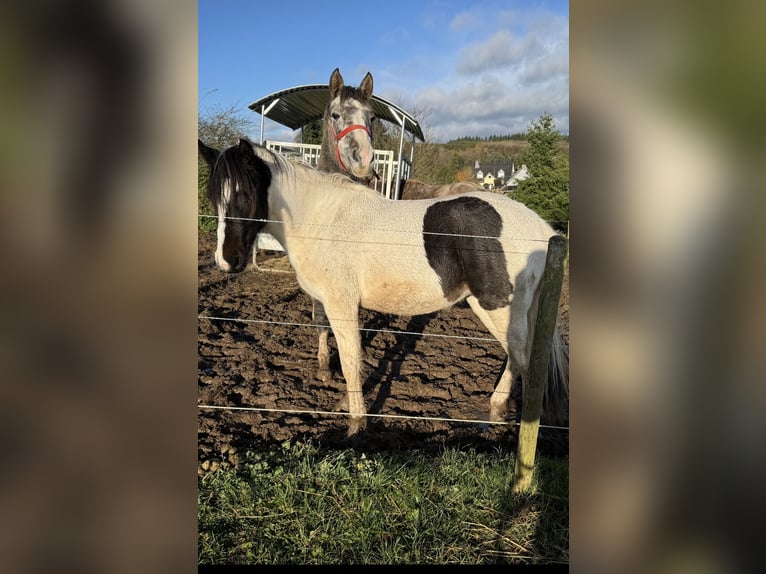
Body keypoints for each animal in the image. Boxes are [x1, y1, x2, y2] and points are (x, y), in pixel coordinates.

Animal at [200, 137, 568, 438]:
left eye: (245, 193)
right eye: (214, 197)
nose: (227, 260)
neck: (321, 219)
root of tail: (542, 228)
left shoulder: (342, 304)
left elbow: (351, 361)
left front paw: (356, 425)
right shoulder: (327, 302)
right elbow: (327, 337)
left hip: (497, 308)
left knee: (525, 362)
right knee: (517, 359)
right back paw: (497, 408)